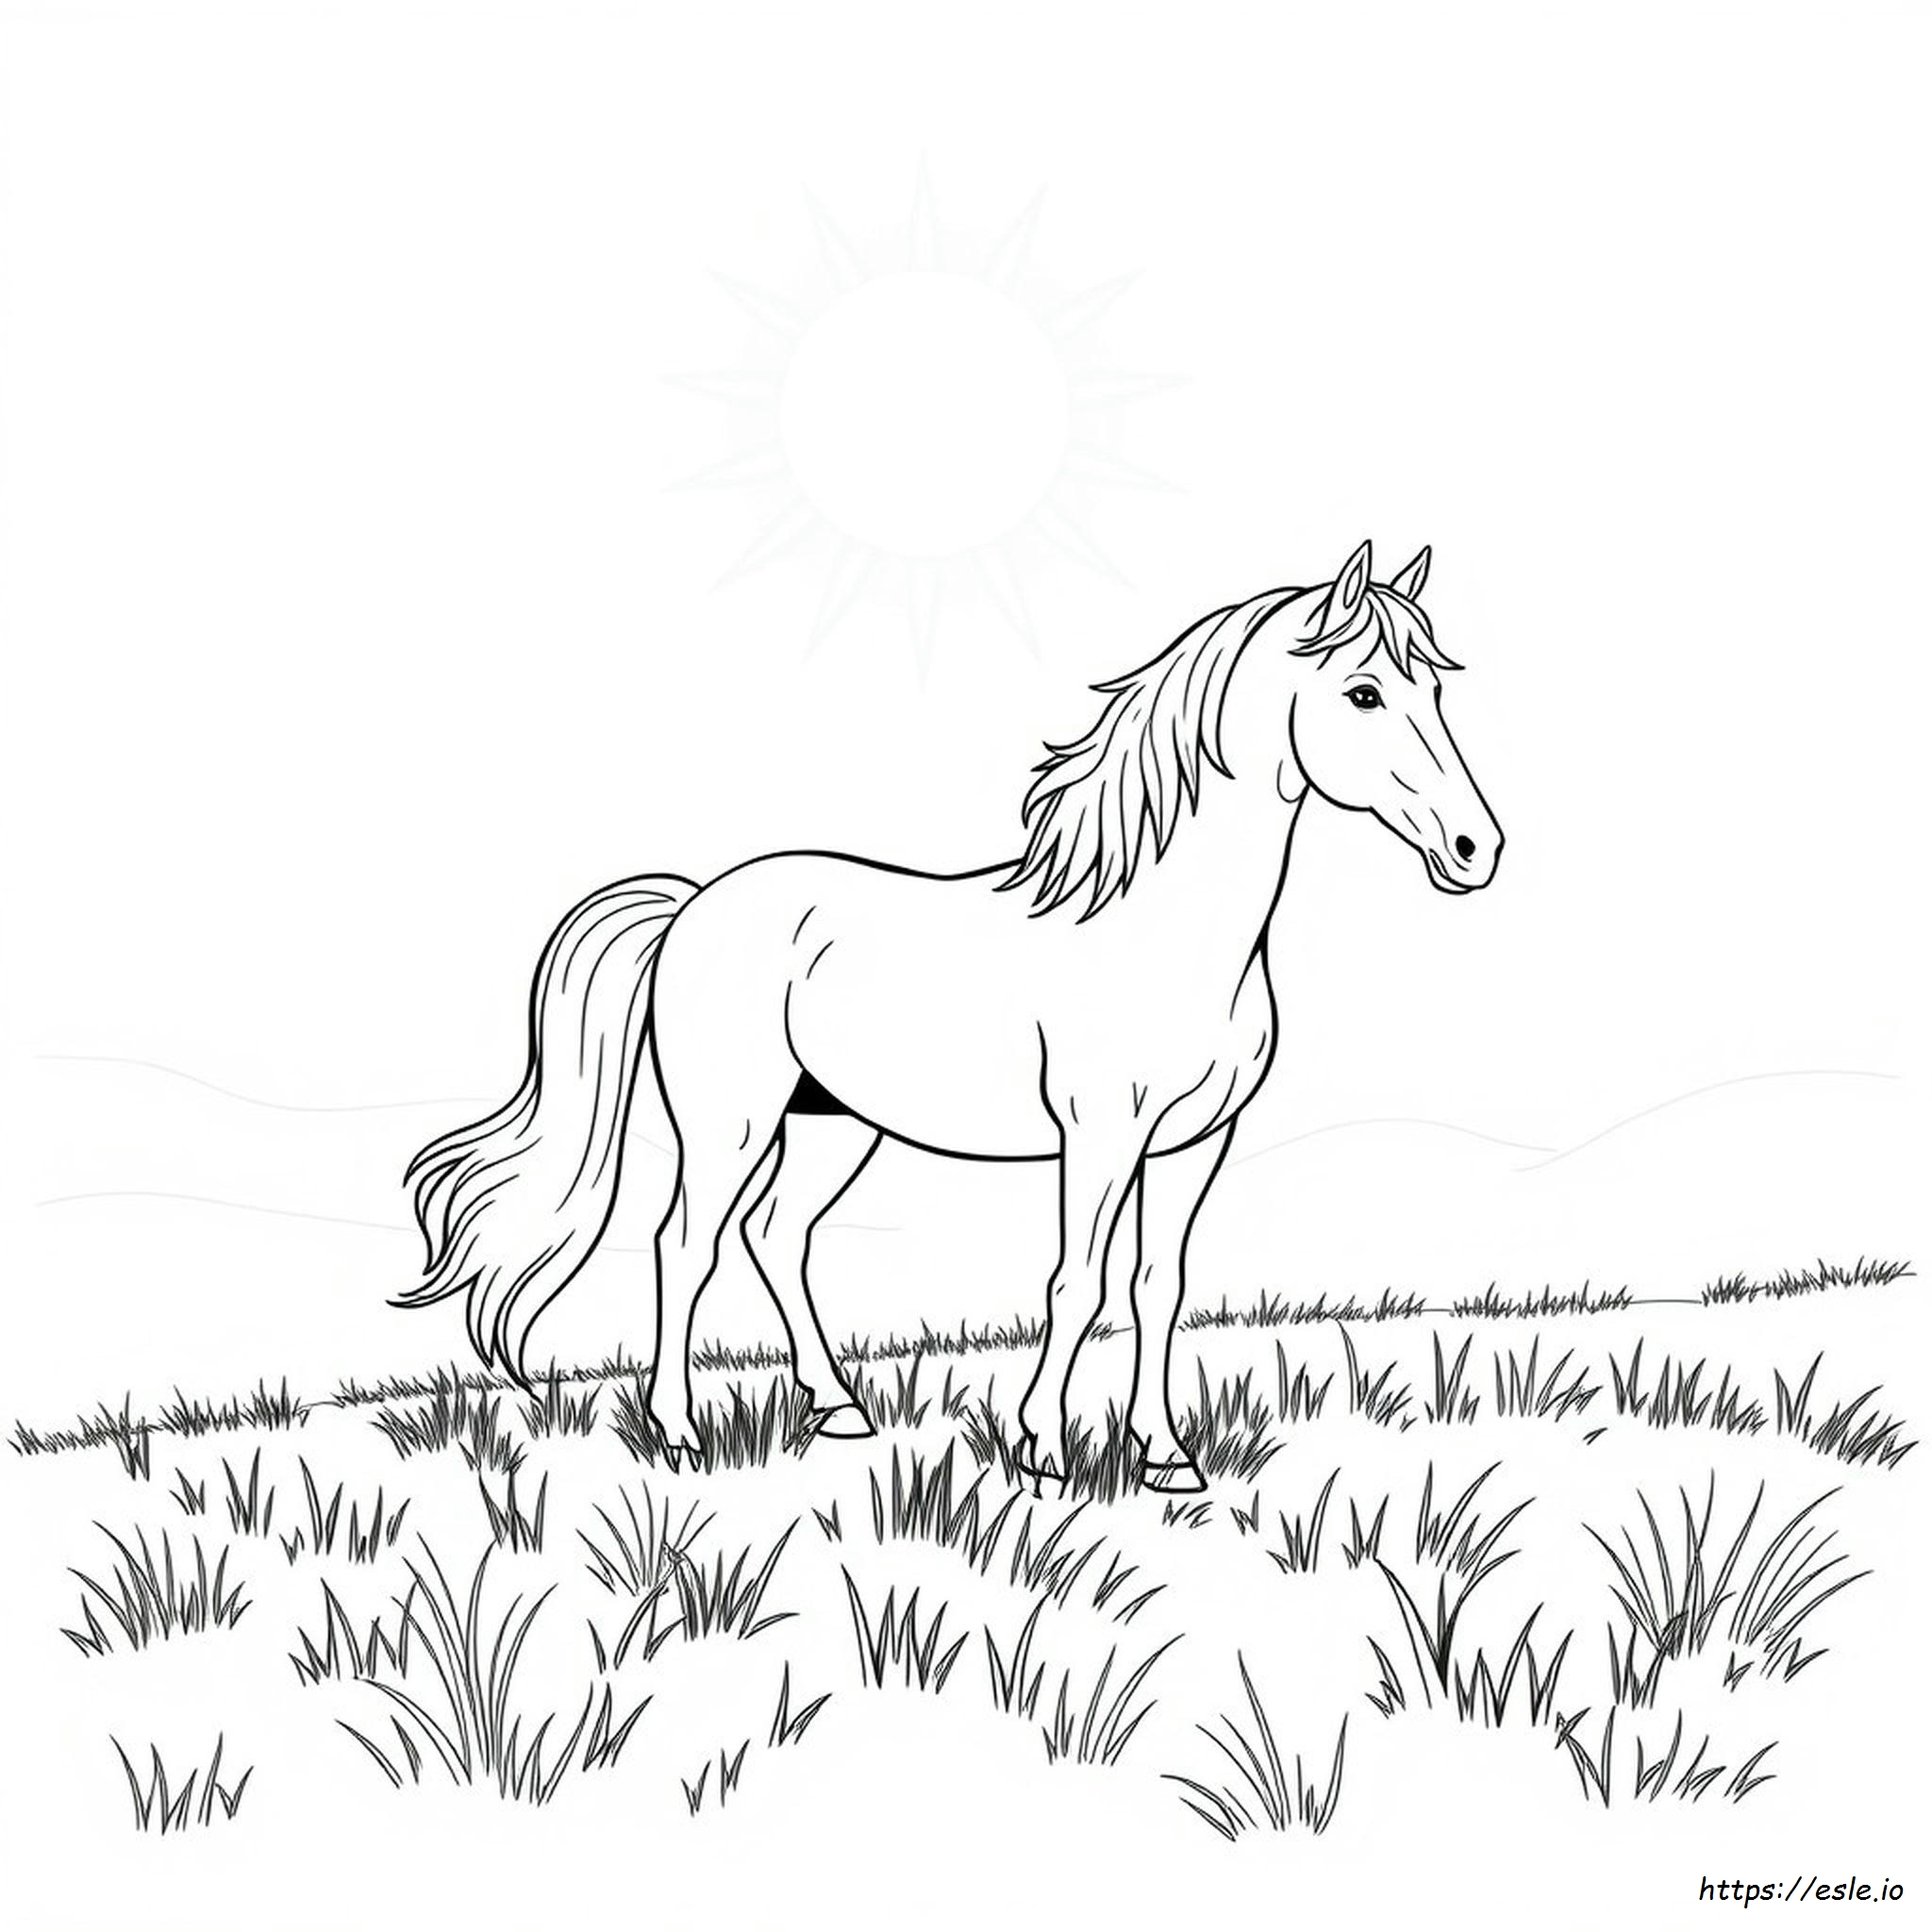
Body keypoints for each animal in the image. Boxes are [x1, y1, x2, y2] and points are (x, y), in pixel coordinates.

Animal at [399, 539, 1503, 1491]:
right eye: (1363, 692)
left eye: (1438, 690)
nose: (1474, 848)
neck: (1164, 928)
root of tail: (695, 905)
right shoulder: (1099, 1135)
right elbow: (1076, 1283)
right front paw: (1042, 1448)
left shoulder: (1195, 1141)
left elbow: (1156, 1285)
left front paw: (1164, 1457)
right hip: (729, 1123)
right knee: (687, 1245)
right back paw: (675, 1432)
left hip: (833, 1125)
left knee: (778, 1237)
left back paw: (838, 1407)